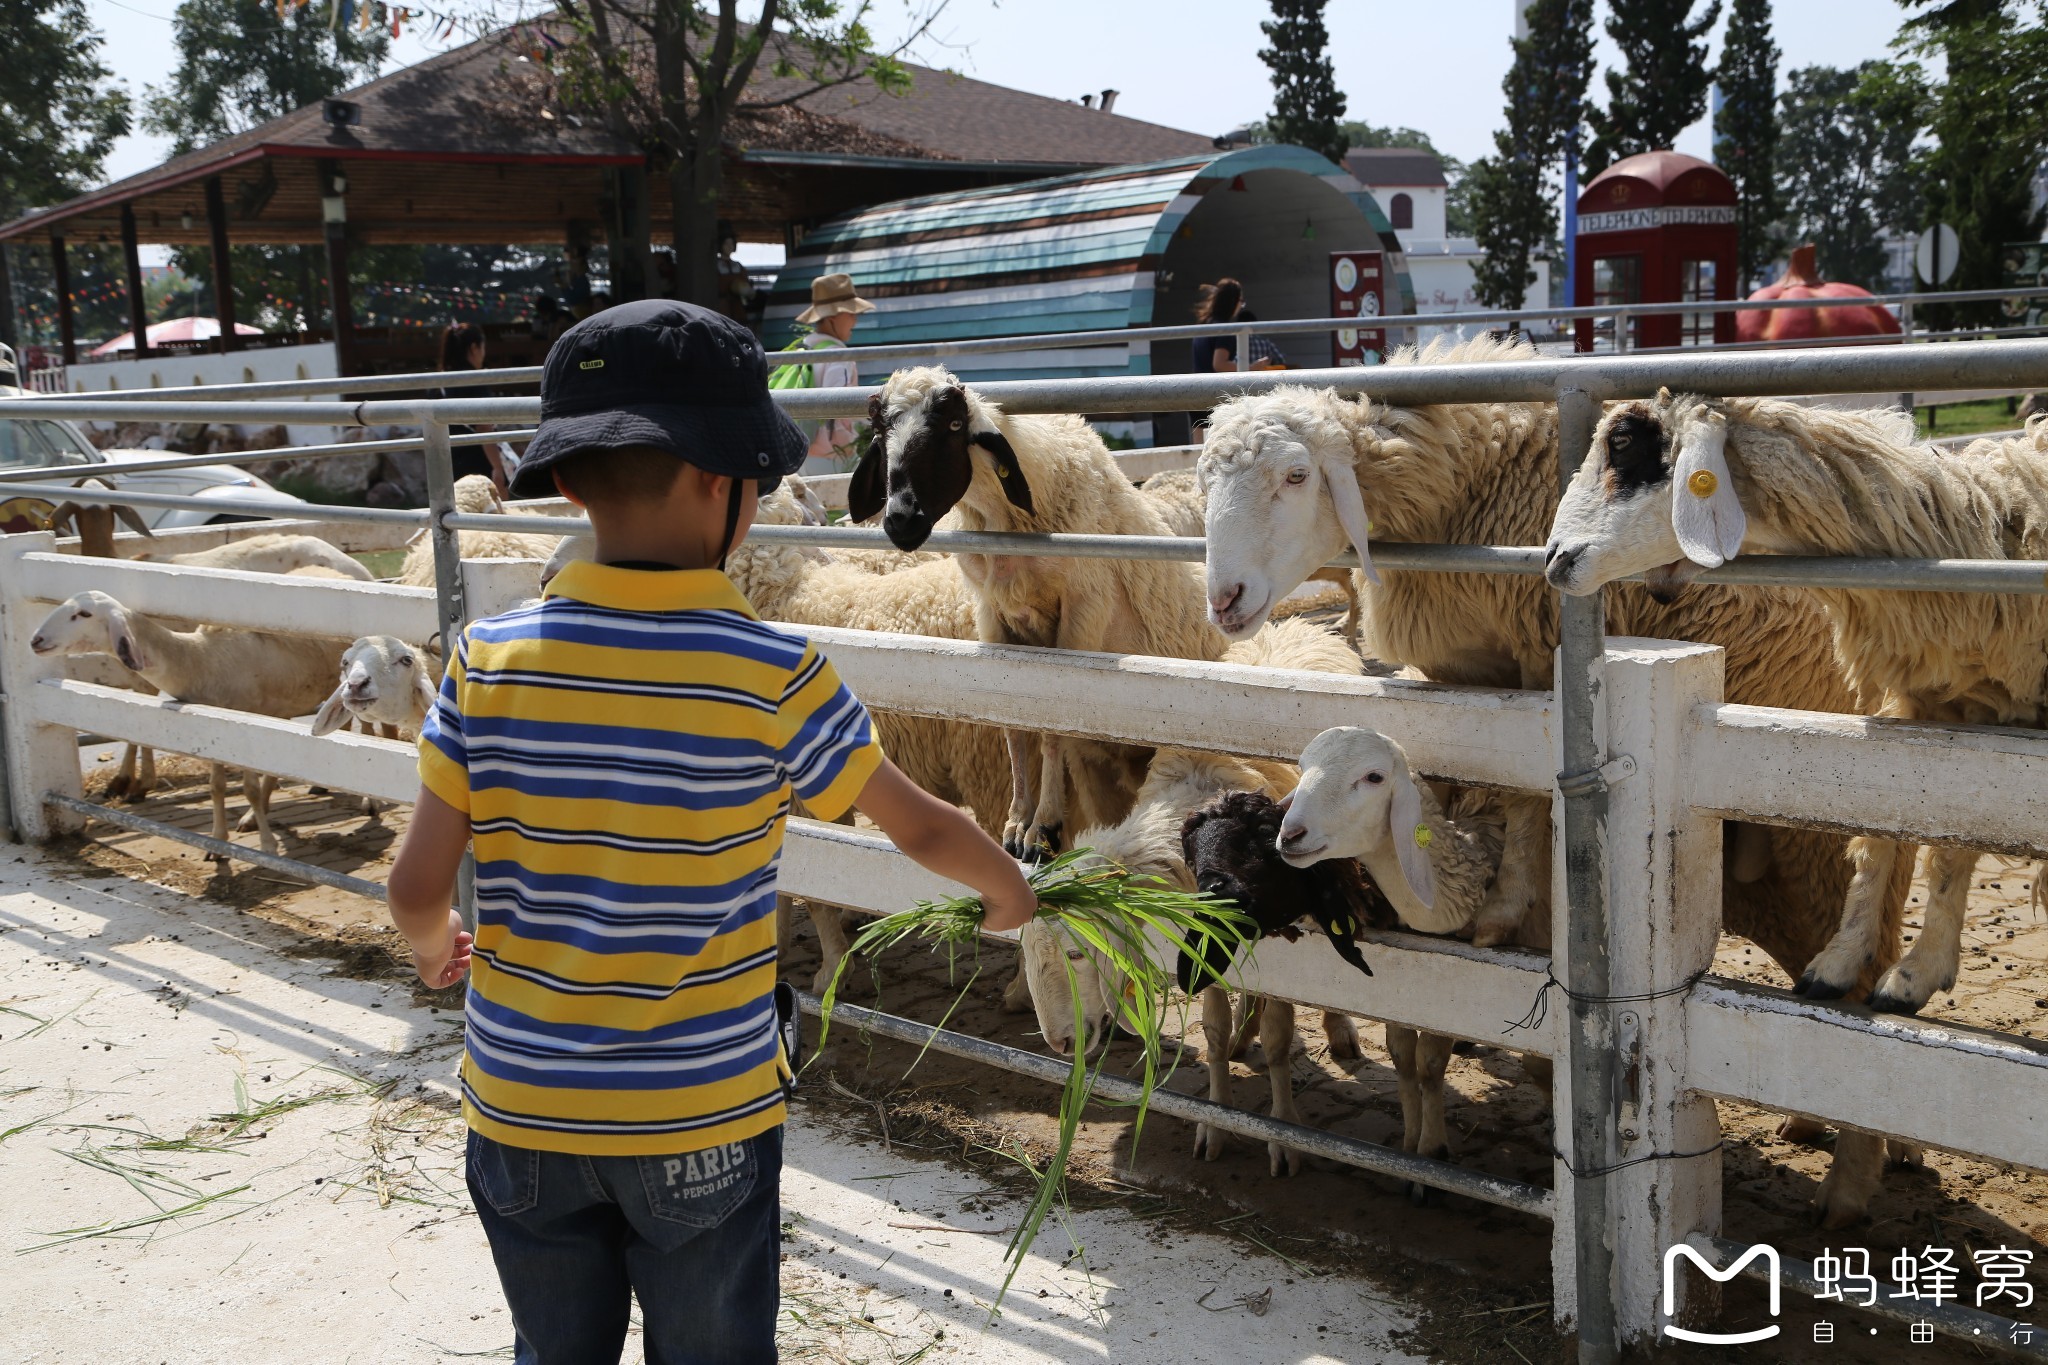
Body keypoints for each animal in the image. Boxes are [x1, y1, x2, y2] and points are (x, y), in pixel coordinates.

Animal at [29, 573, 350, 855]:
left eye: (83, 614)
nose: (35, 641)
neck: (200, 660)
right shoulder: (213, 729)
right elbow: (216, 787)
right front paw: (218, 842)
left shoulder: (245, 724)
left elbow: (250, 789)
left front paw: (267, 845)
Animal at [851, 370, 1228, 863]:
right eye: (880, 433)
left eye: (953, 425)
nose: (900, 519)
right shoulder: (994, 618)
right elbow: (1015, 724)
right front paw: (1016, 823)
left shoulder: (1081, 614)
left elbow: (1051, 726)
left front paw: (1042, 829)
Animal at [1196, 339, 1908, 1227]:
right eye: (1204, 481)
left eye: (1296, 475)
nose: (1223, 599)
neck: (1466, 483)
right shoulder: (1460, 673)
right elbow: (1478, 782)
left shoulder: (1538, 653)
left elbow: (1529, 793)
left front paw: (1503, 909)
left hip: (1817, 831)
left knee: (1863, 966)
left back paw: (1852, 1179)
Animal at [1540, 394, 2048, 1023]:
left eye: (1624, 442)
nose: (1554, 558)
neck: (1993, 529)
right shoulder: (1947, 702)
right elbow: (1898, 836)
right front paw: (1852, 965)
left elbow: (1952, 842)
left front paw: (1912, 970)